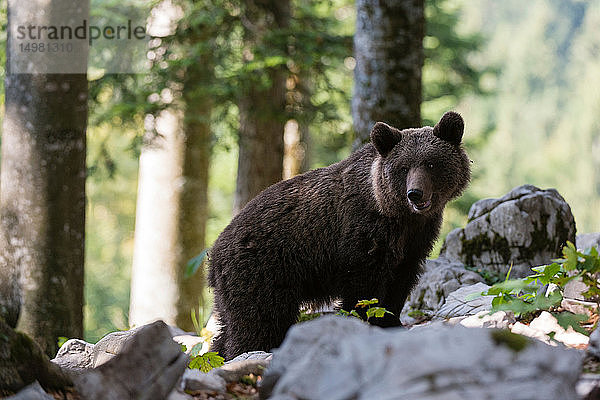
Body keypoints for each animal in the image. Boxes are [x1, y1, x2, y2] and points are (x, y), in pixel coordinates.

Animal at [209, 110, 472, 360]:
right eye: (403, 167)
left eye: (431, 163)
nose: (415, 193)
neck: (398, 215)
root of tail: (214, 252)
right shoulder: (363, 236)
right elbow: (363, 291)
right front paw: (365, 322)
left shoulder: (414, 242)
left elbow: (399, 283)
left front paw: (391, 321)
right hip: (263, 271)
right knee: (260, 320)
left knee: (229, 326)